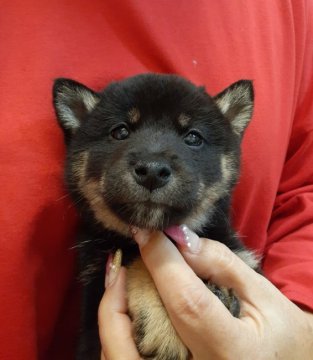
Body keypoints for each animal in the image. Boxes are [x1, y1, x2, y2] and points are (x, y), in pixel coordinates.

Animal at [52, 71, 258, 358]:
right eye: (120, 131)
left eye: (193, 137)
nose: (152, 171)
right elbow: (137, 258)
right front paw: (162, 325)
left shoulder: (243, 258)